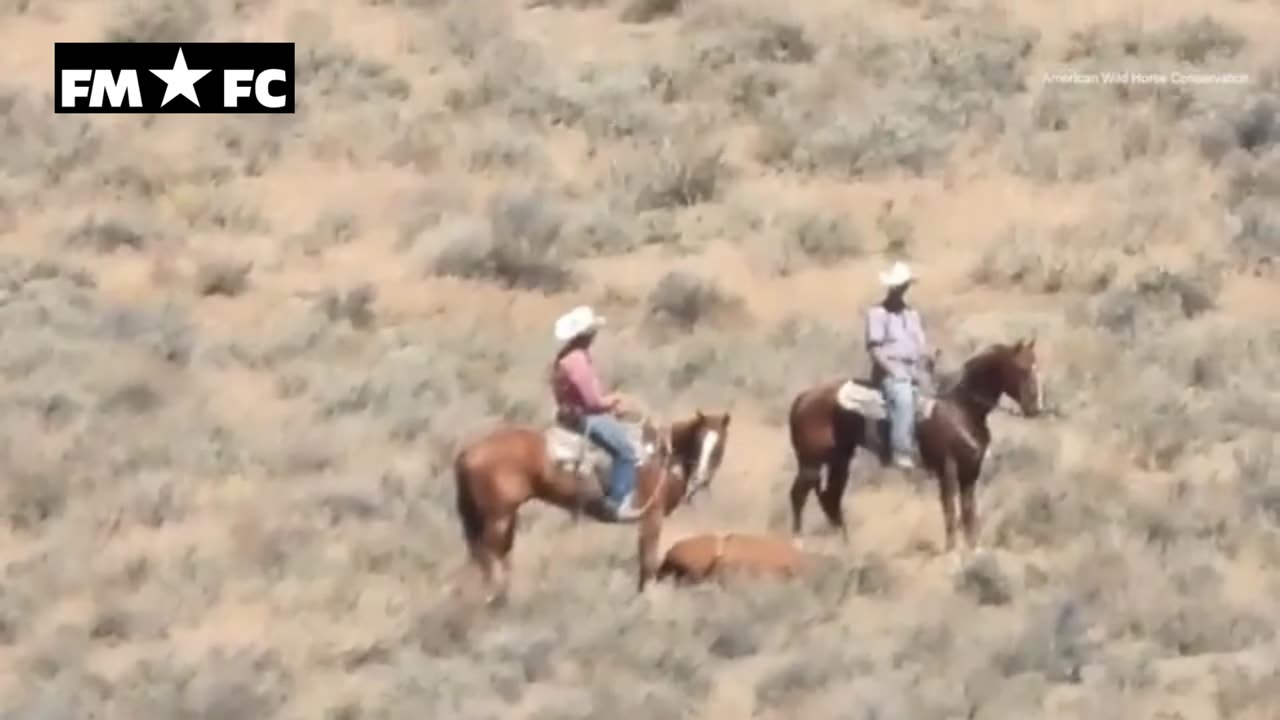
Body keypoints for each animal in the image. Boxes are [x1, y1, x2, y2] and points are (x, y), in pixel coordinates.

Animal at [453, 407, 732, 602]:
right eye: (699, 441)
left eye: (719, 446)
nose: (699, 479)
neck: (662, 459)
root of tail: (467, 453)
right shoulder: (652, 518)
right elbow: (648, 564)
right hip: (497, 518)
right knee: (489, 558)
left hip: (500, 517)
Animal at [783, 338, 1044, 561]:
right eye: (1022, 368)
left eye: (1037, 366)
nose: (1035, 408)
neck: (960, 409)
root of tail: (803, 398)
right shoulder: (947, 469)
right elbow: (950, 510)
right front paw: (952, 551)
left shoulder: (970, 470)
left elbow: (969, 511)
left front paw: (975, 550)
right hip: (811, 462)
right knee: (799, 495)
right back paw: (798, 544)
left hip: (840, 460)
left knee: (831, 498)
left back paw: (846, 547)